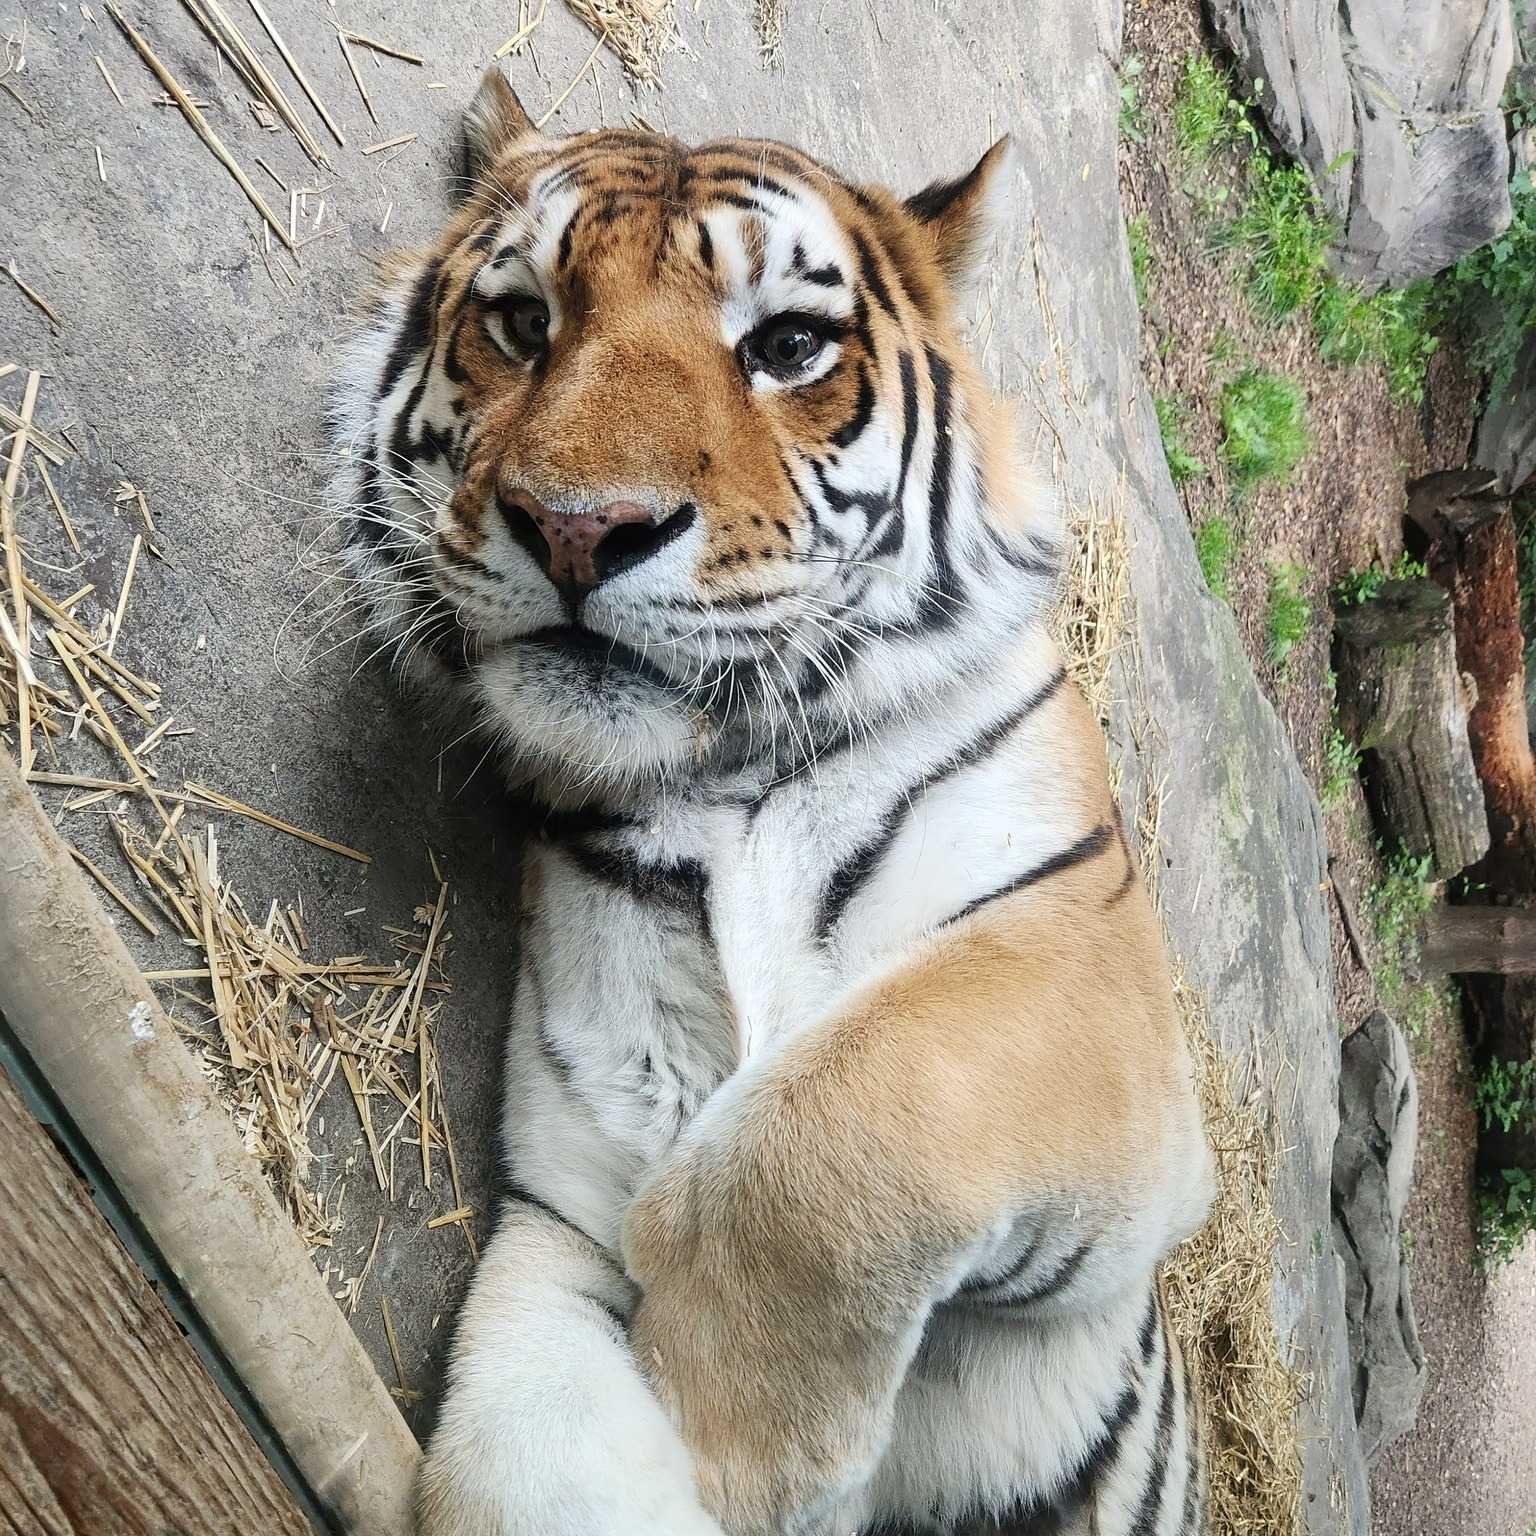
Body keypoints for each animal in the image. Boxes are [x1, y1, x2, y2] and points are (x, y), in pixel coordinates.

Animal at [330, 63, 1216, 1536]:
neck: (724, 775)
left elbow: (852, 1112)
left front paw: (742, 1441)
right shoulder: (559, 1218)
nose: (580, 526)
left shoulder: (1093, 1013)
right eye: (523, 322)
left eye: (790, 345)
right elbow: (517, 1459)